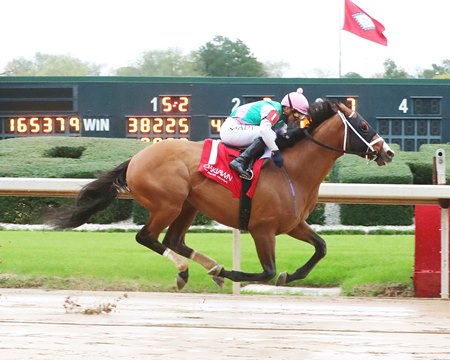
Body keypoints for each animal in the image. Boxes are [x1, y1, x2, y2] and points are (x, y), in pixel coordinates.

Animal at [48, 99, 394, 290]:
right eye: (364, 125)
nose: (388, 152)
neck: (294, 170)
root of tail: (136, 158)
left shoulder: (293, 224)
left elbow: (321, 248)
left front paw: (290, 275)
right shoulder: (262, 228)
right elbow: (267, 272)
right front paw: (233, 273)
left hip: (188, 206)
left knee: (173, 240)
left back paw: (209, 268)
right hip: (168, 203)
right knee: (147, 237)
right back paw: (191, 270)